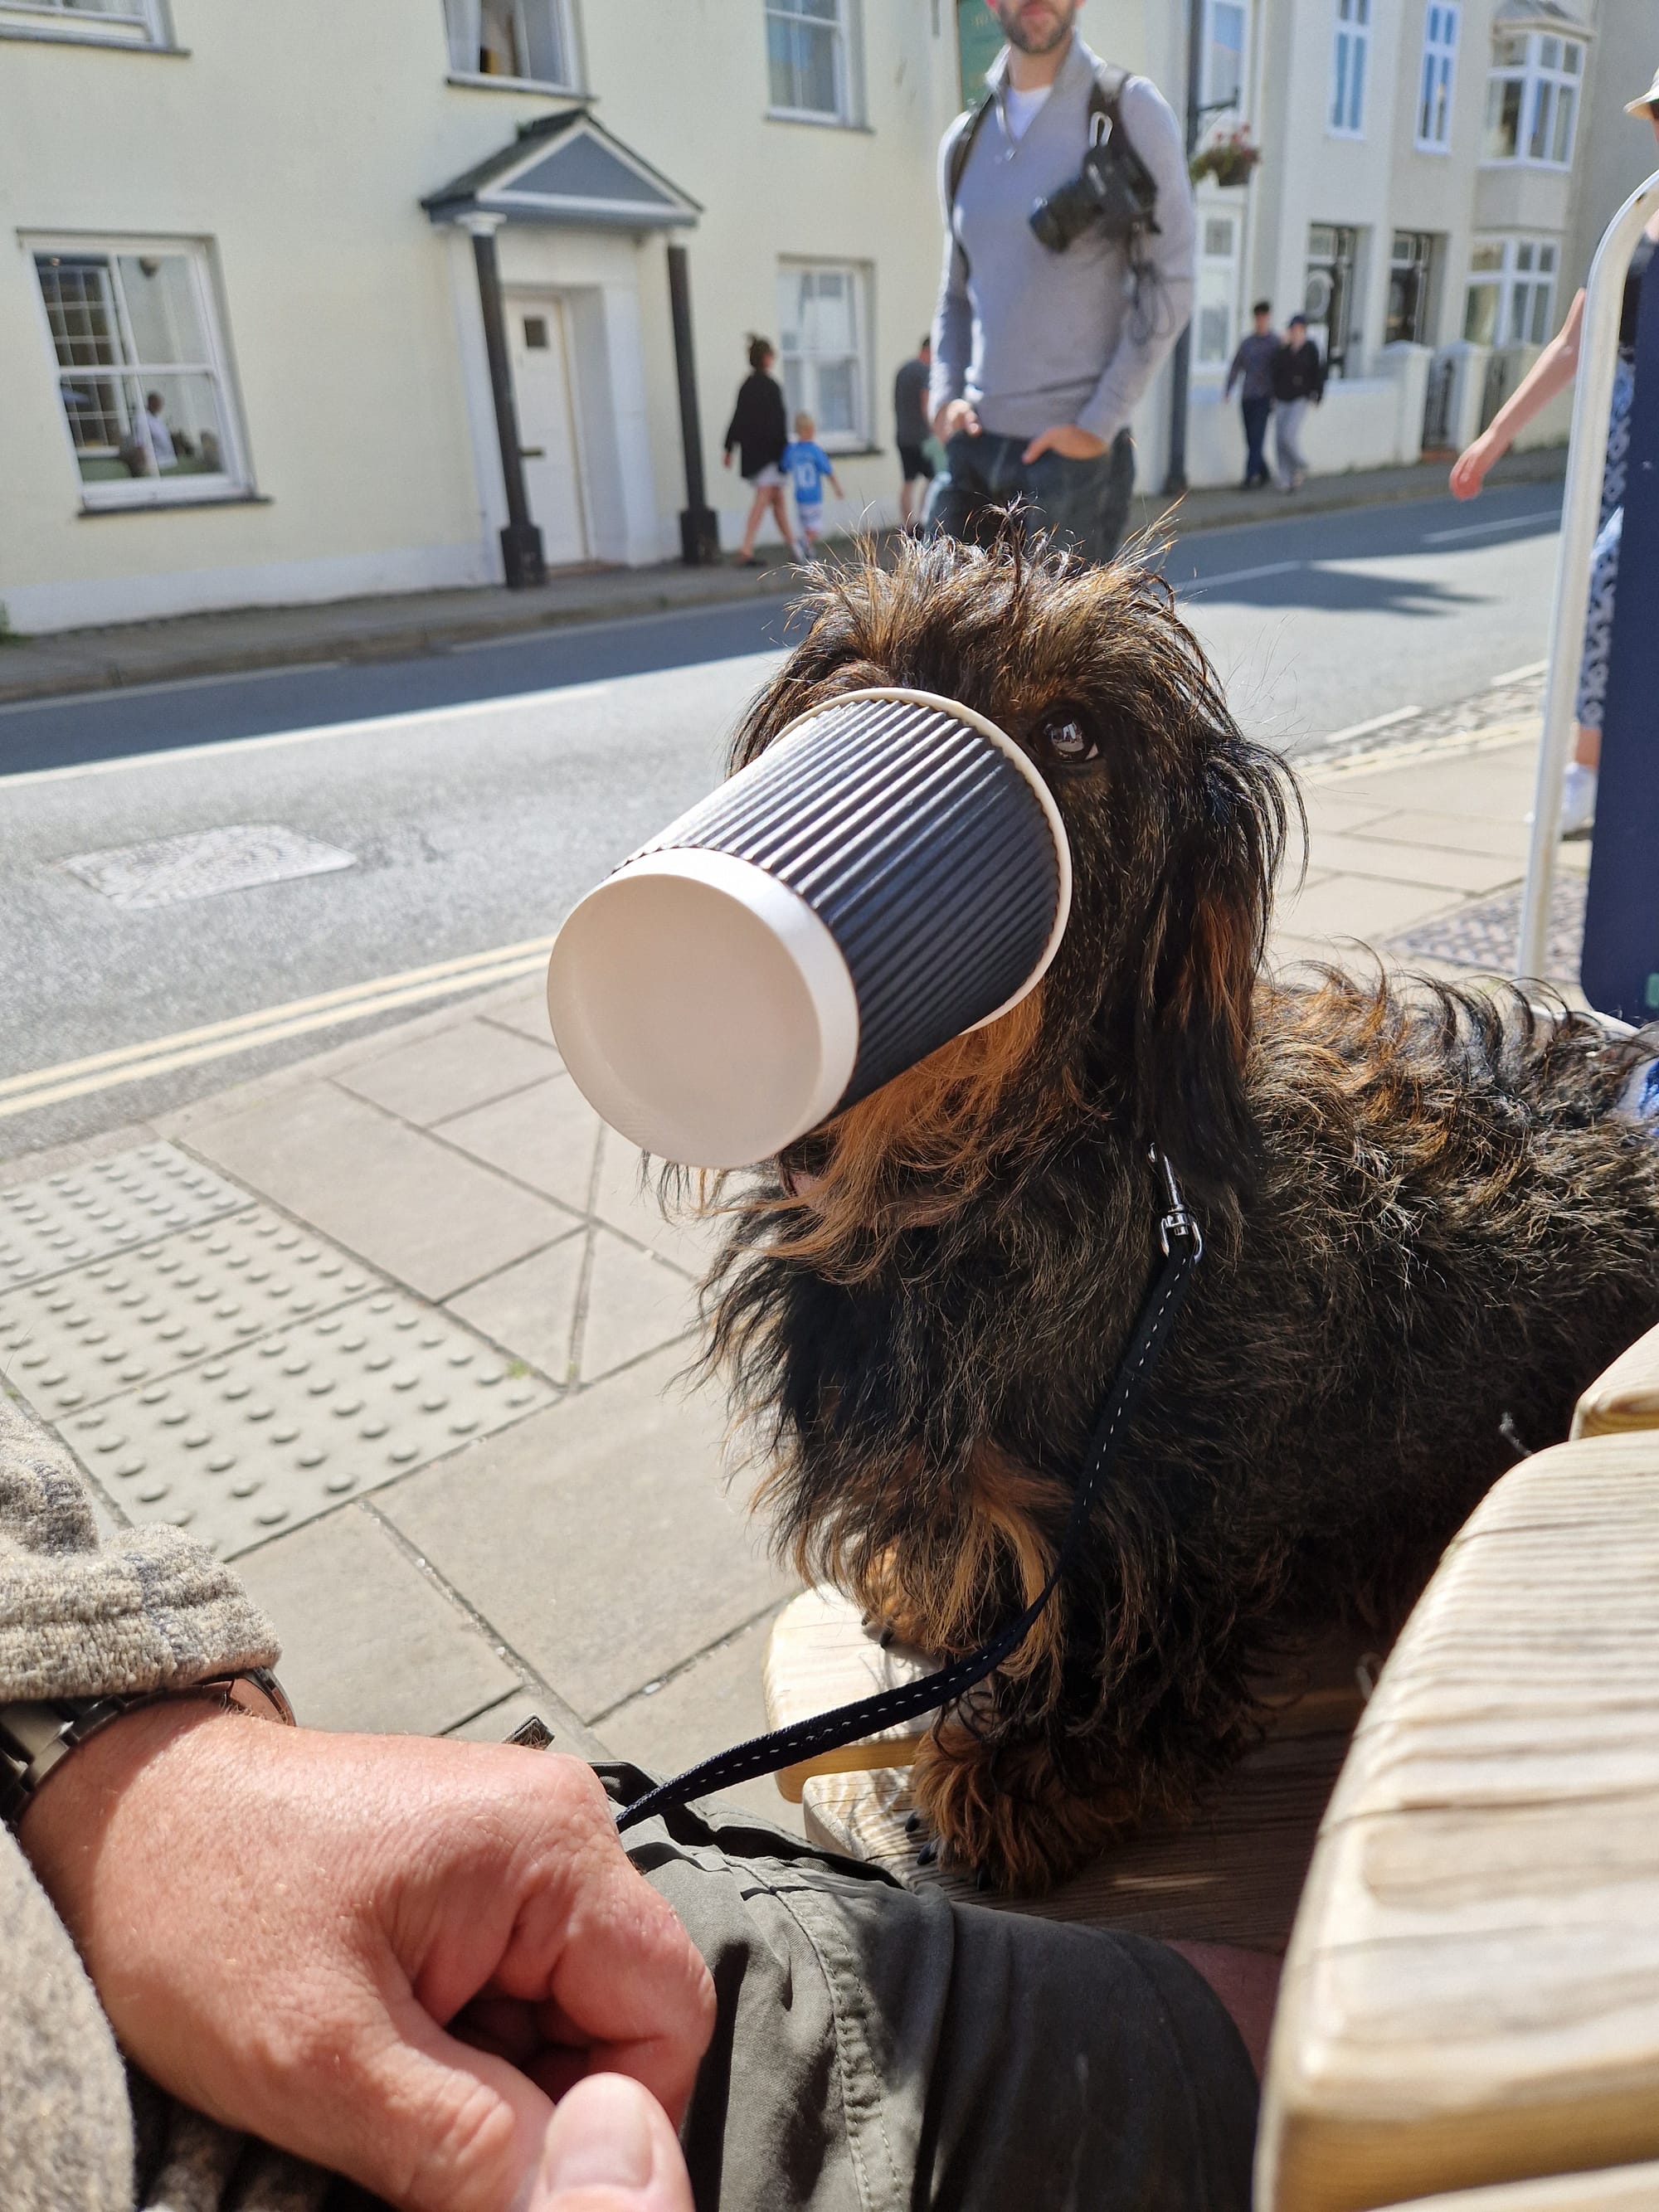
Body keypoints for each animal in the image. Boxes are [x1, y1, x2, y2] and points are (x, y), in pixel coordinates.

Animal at [681, 531, 1654, 1884]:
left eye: (1075, 734)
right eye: (860, 673)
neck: (974, 1186)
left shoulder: (1156, 1537)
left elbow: (1115, 1676)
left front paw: (1012, 1774)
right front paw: (933, 1594)